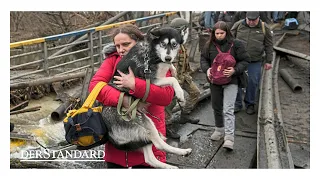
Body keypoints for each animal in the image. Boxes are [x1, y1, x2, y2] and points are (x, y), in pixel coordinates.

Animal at [104, 26, 191, 169]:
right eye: (163, 44)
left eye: (174, 45)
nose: (168, 58)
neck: (152, 52)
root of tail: (110, 133)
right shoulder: (151, 80)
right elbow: (172, 80)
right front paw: (179, 93)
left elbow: (171, 73)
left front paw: (173, 69)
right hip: (144, 125)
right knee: (159, 144)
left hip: (143, 130)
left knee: (150, 158)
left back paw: (177, 157)